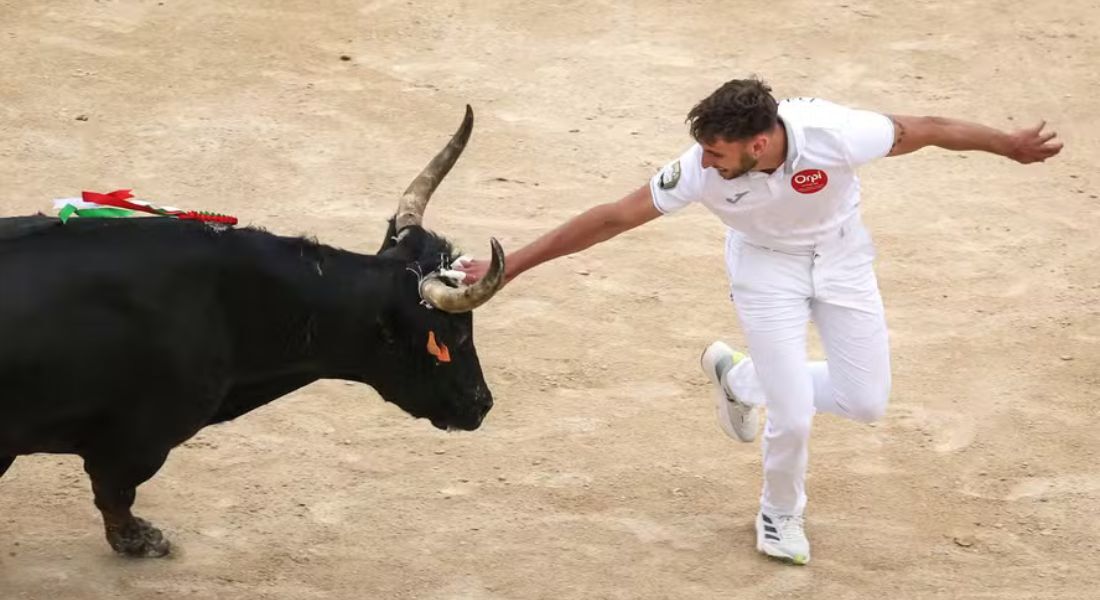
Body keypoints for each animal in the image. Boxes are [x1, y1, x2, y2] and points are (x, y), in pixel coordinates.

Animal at [0, 104, 506, 557]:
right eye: (456, 337)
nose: (482, 404)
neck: (229, 298)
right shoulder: (138, 438)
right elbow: (115, 491)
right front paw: (140, 540)